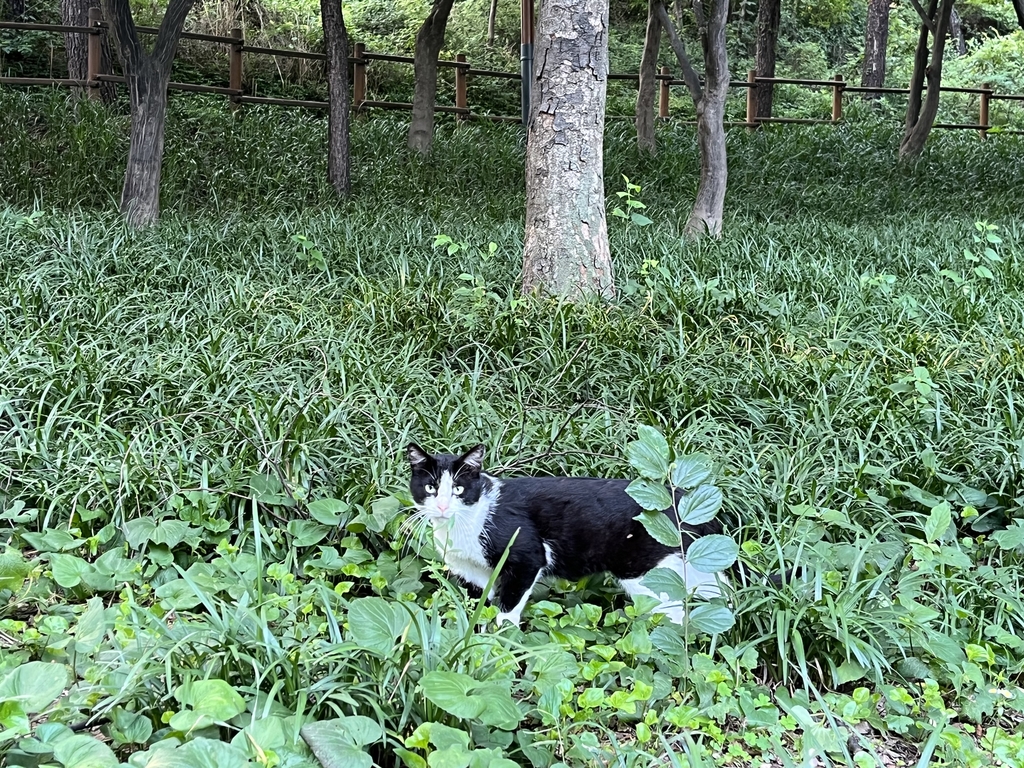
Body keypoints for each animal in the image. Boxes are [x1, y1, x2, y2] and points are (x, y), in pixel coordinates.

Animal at [403, 442, 724, 626]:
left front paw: (500, 647)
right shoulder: (475, 574)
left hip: (645, 572)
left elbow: (507, 609)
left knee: (676, 615)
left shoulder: (527, 557)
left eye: (458, 489)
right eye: (431, 487)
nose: (443, 506)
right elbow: (484, 606)